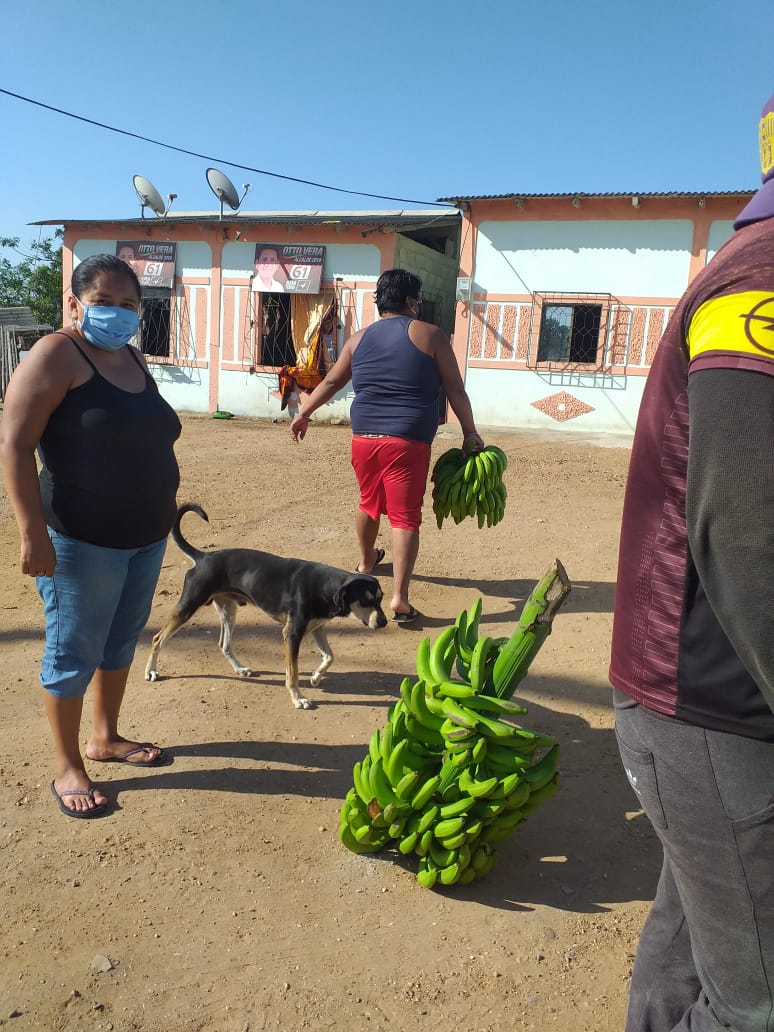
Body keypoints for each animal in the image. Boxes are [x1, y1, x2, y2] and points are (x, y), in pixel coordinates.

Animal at [145, 504, 388, 709]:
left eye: (381, 597)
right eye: (366, 600)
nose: (385, 622)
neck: (324, 586)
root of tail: (204, 557)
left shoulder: (317, 627)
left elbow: (329, 656)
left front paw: (316, 677)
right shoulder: (291, 634)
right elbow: (292, 673)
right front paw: (298, 699)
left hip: (228, 610)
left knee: (224, 644)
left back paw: (240, 669)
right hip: (188, 606)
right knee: (157, 639)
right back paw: (151, 671)